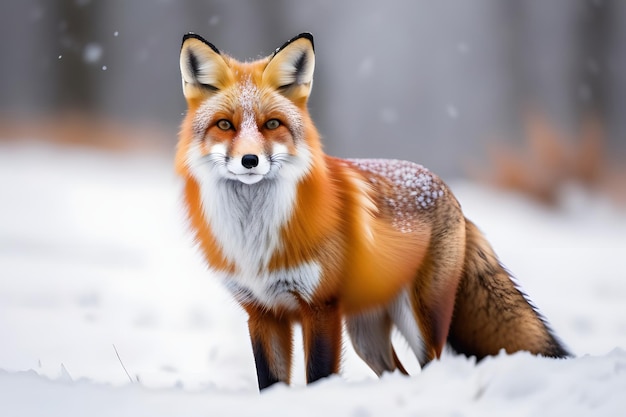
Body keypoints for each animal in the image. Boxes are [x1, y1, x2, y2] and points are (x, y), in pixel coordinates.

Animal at [176, 32, 572, 390]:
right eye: (224, 125)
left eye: (272, 124)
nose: (249, 160)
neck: (256, 237)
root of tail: (449, 191)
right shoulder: (262, 312)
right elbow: (270, 383)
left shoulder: (320, 307)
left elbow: (319, 376)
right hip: (364, 335)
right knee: (399, 373)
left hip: (419, 319)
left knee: (431, 367)